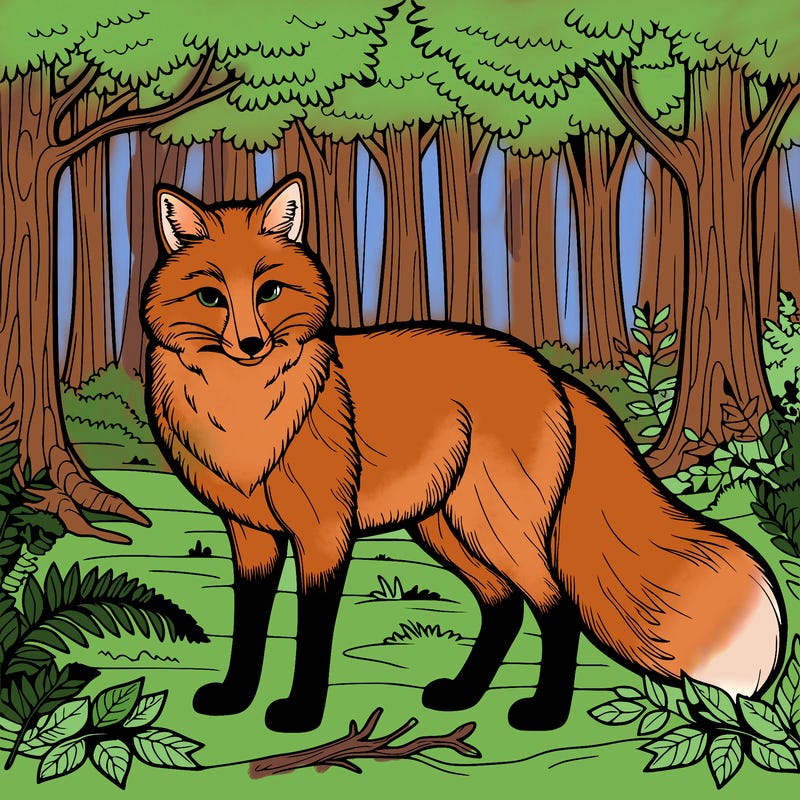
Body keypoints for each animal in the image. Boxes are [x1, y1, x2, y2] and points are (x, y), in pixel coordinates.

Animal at [142, 173, 785, 734]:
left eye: (269, 291)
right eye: (210, 297)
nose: (251, 344)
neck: (245, 418)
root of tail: (551, 372)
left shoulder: (324, 533)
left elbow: (313, 633)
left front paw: (301, 715)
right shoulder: (252, 534)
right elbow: (248, 626)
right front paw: (235, 698)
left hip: (496, 525)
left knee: (555, 608)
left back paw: (544, 714)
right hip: (449, 527)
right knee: (504, 607)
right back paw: (463, 694)